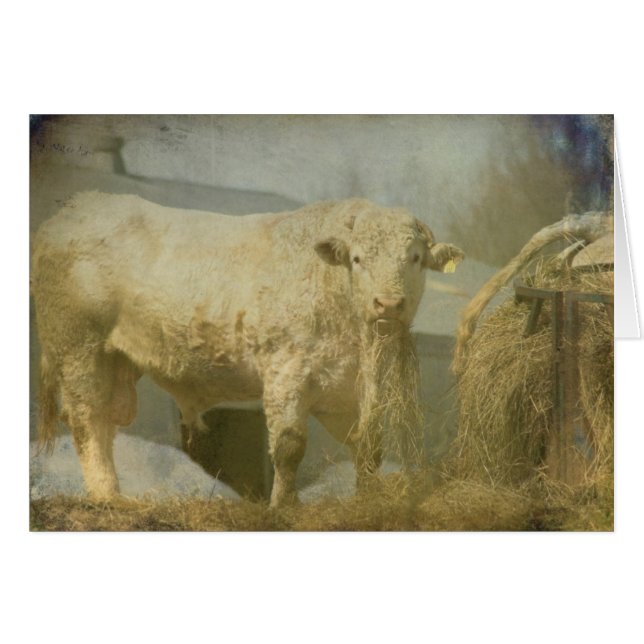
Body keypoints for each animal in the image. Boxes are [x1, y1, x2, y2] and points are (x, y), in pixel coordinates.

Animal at [31, 192, 464, 506]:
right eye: (357, 259)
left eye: (415, 258)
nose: (388, 304)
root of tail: (72, 209)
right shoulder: (286, 371)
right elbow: (289, 445)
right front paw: (284, 507)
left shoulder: (353, 387)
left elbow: (369, 445)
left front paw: (368, 501)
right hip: (78, 346)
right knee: (87, 422)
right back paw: (107, 497)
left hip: (113, 359)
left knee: (105, 421)